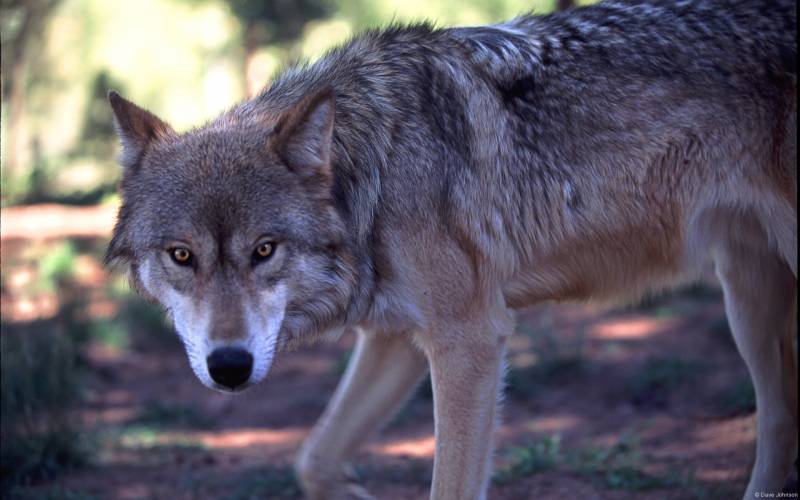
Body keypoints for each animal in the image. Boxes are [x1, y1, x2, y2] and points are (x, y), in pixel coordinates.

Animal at [104, 1, 792, 498]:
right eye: (182, 255)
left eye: (265, 250)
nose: (230, 367)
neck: (374, 172)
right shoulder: (394, 339)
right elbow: (314, 459)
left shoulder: (469, 340)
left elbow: (449, 484)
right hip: (748, 297)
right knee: (780, 420)